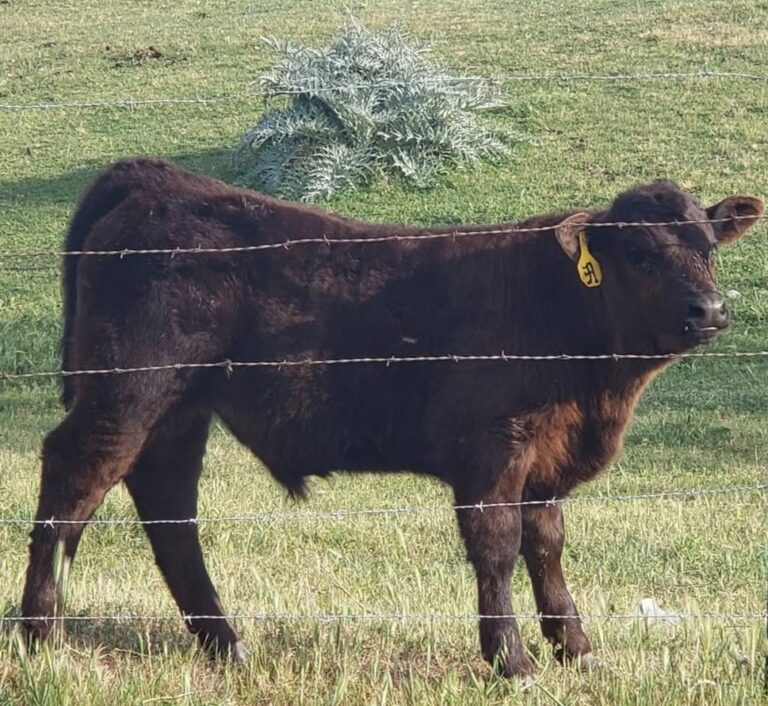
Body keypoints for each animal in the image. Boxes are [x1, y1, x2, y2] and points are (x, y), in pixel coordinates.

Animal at [20, 158, 763, 677]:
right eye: (639, 254)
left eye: (708, 247)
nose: (710, 310)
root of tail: (157, 180)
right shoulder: (492, 450)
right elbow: (497, 546)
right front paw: (512, 660)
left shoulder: (547, 461)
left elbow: (546, 546)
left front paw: (577, 649)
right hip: (127, 394)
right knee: (73, 482)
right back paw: (40, 636)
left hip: (178, 412)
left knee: (168, 507)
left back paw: (226, 644)